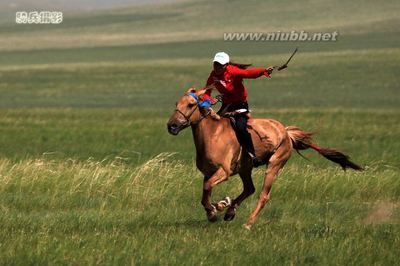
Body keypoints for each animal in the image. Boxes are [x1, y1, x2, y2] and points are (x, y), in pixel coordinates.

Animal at [166, 88, 362, 229]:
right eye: (176, 103)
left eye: (191, 104)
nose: (172, 126)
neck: (213, 135)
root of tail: (286, 133)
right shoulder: (209, 173)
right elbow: (205, 192)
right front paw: (218, 207)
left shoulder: (224, 172)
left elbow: (207, 188)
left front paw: (213, 212)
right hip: (245, 169)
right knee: (249, 188)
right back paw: (230, 211)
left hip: (274, 165)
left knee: (263, 195)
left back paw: (247, 223)